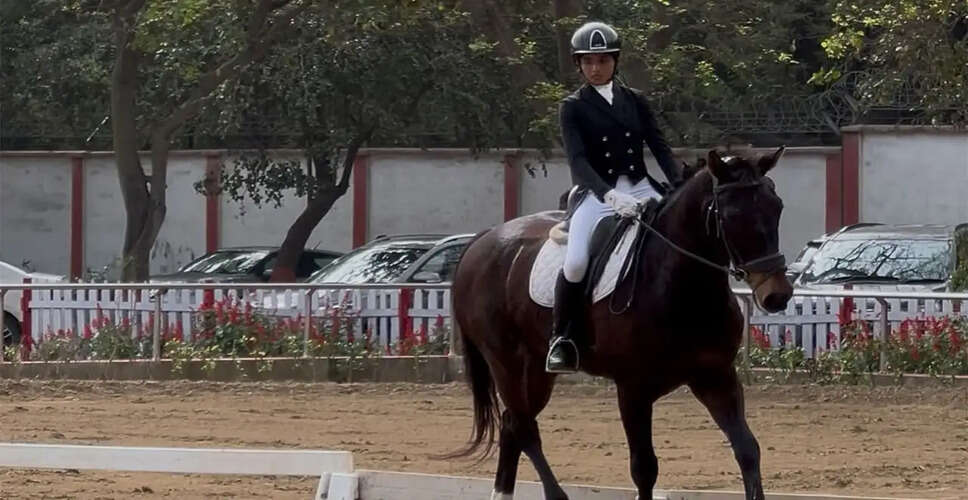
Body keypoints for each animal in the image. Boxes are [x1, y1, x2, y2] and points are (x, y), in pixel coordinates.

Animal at [447, 148, 794, 500]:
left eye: (777, 206)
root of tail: (483, 239)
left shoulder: (716, 376)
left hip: (536, 369)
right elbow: (644, 468)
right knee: (523, 426)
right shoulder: (632, 388)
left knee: (512, 424)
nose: (777, 295)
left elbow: (747, 449)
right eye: (733, 215)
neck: (680, 285)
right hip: (505, 361)